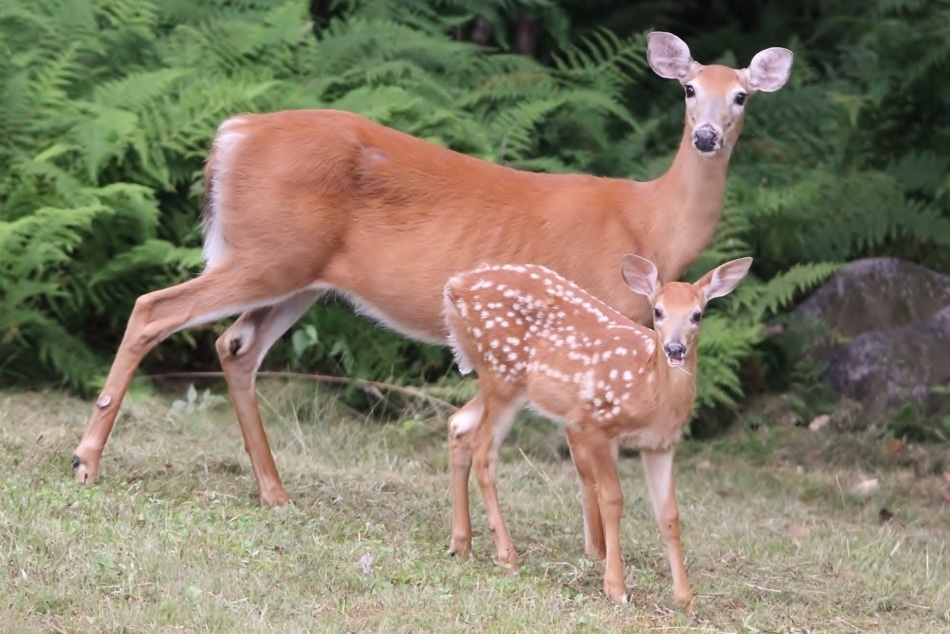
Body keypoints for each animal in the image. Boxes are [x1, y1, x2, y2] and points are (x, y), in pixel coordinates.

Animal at [70, 32, 792, 504]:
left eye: (742, 98)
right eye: (689, 89)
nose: (706, 136)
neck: (649, 223)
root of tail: (230, 134)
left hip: (297, 271)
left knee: (235, 345)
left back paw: (274, 491)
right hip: (267, 254)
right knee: (155, 308)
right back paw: (86, 461)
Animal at [442, 256, 756, 604]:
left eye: (697, 314)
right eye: (658, 311)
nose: (675, 349)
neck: (649, 392)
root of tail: (455, 287)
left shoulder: (661, 445)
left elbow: (669, 514)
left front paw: (684, 596)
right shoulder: (596, 425)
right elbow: (612, 500)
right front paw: (616, 587)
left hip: (502, 384)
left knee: (458, 424)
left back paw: (460, 544)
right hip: (502, 374)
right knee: (483, 449)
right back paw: (507, 556)